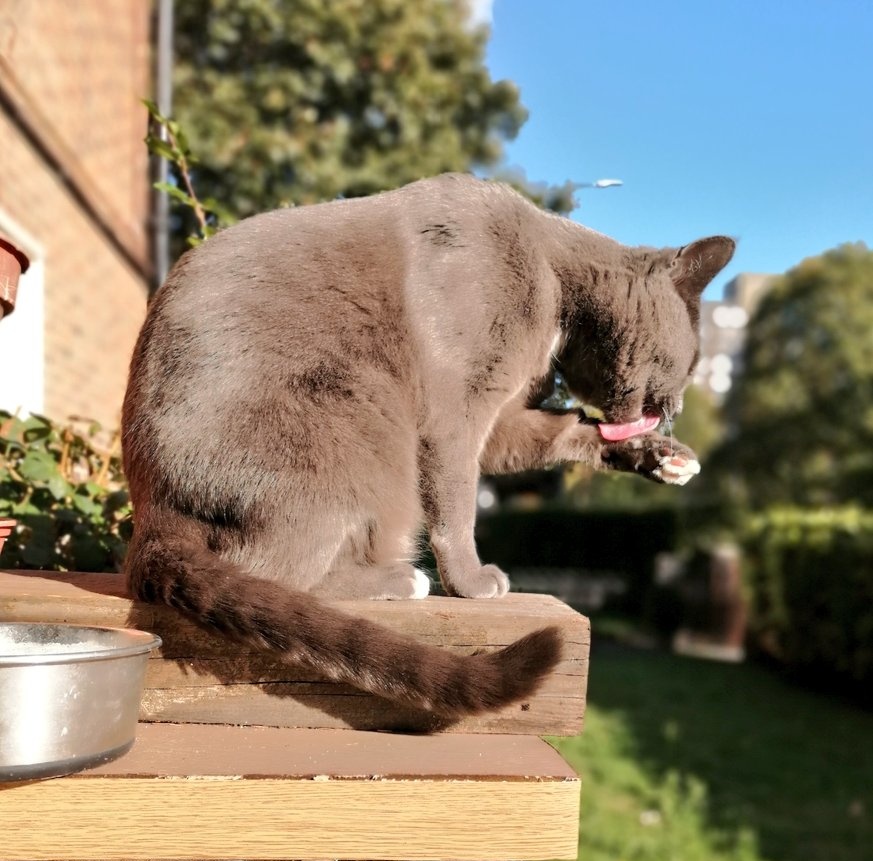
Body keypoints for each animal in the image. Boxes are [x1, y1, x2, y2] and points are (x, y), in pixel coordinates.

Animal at [121, 173, 736, 720]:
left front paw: (661, 458)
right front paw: (471, 582)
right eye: (691, 362)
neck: (558, 287)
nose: (677, 406)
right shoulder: (457, 408)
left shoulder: (502, 416)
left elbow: (557, 432)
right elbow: (458, 501)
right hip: (361, 410)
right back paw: (403, 579)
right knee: (270, 571)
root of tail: (151, 515)